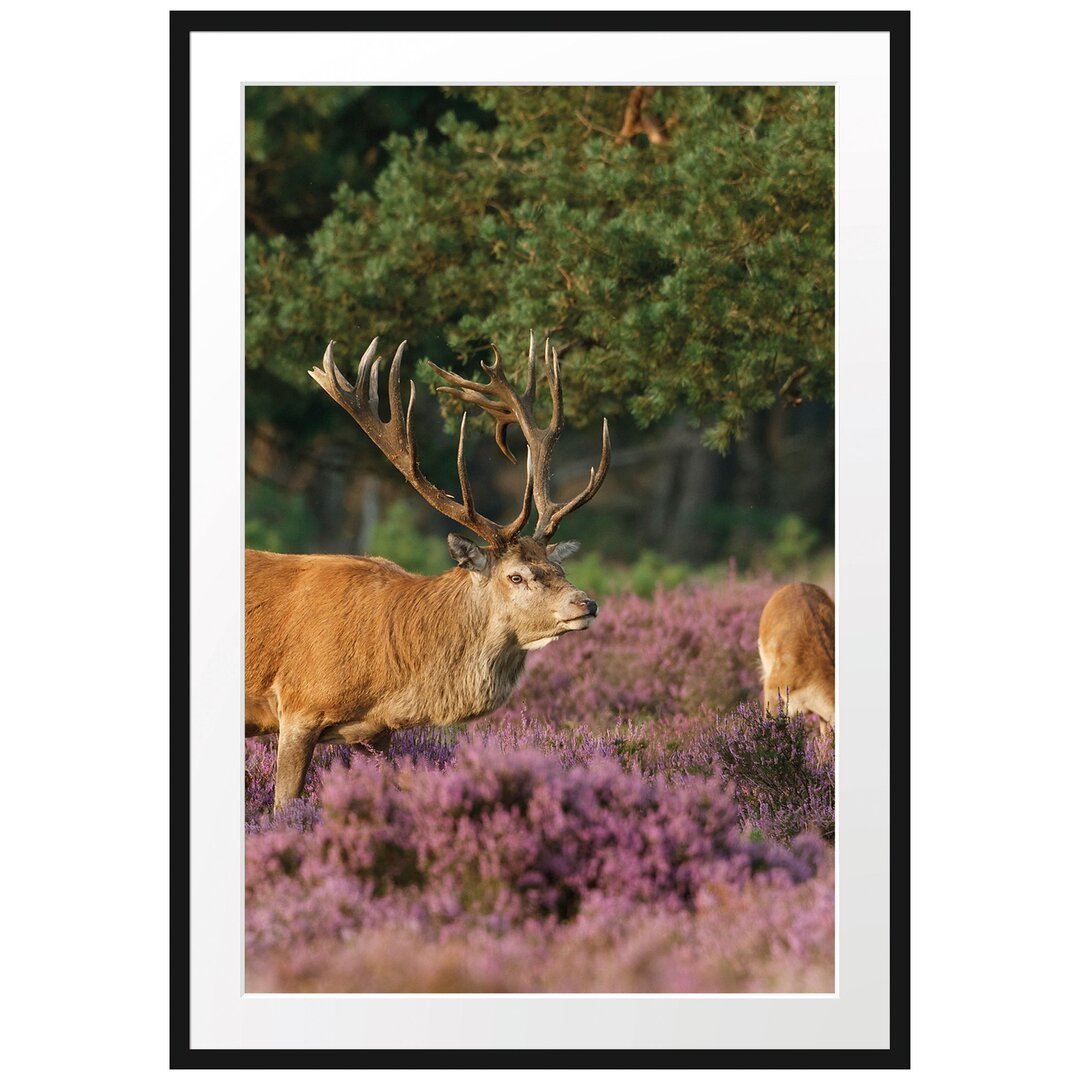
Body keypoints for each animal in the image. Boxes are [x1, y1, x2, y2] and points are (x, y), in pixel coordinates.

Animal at [247, 332, 613, 807]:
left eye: (558, 567)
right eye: (516, 575)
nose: (586, 603)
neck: (389, 677)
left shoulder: (375, 733)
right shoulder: (298, 707)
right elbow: (283, 808)